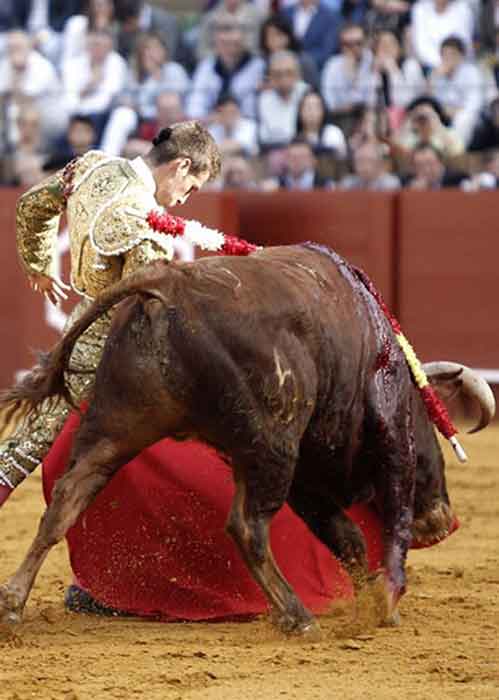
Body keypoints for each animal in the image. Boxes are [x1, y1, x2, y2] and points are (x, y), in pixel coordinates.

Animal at [0, 246, 494, 636]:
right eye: (429, 431)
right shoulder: (383, 437)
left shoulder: (299, 472)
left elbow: (348, 537)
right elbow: (390, 517)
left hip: (117, 425)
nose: (440, 520)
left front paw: (370, 598)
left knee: (66, 500)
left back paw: (11, 607)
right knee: (247, 526)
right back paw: (298, 618)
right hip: (272, 442)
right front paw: (387, 600)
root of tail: (170, 282)